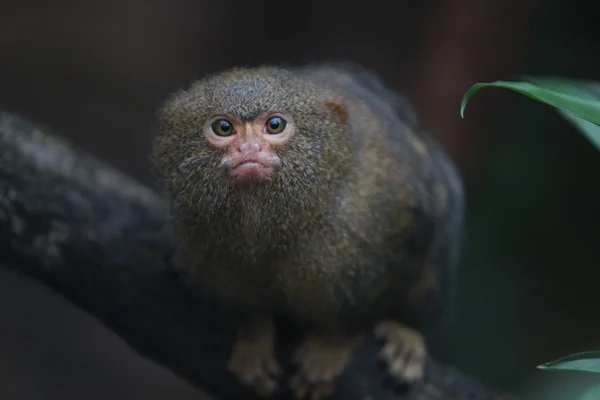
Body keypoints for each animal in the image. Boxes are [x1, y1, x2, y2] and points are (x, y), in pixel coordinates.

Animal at [152, 62, 466, 400]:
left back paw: (405, 336)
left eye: (275, 125)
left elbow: (375, 296)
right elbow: (243, 303)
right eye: (223, 128)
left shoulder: (392, 213)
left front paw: (331, 348)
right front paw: (253, 339)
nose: (249, 148)